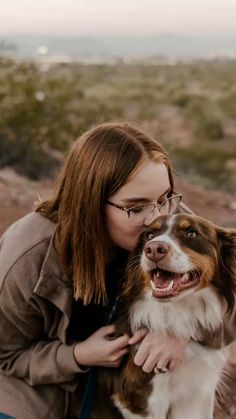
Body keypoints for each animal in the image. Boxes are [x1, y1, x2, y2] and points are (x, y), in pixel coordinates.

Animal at [91, 215, 236, 418]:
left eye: (192, 233)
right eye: (150, 235)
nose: (153, 249)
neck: (179, 312)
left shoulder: (196, 394)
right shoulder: (140, 400)